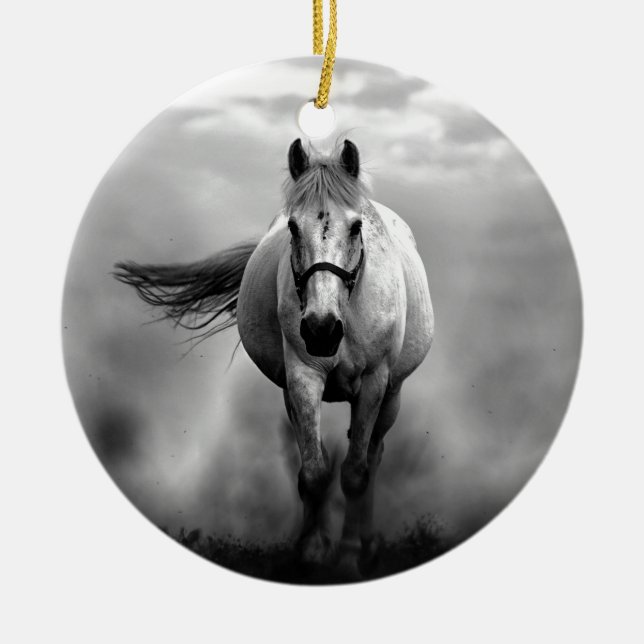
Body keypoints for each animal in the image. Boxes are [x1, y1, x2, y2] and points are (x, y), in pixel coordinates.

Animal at [114, 138, 434, 578]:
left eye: (356, 227)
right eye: (293, 228)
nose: (320, 329)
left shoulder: (374, 382)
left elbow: (355, 473)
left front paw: (349, 557)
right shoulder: (302, 378)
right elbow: (314, 472)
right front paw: (312, 553)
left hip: (392, 394)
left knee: (373, 455)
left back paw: (367, 545)